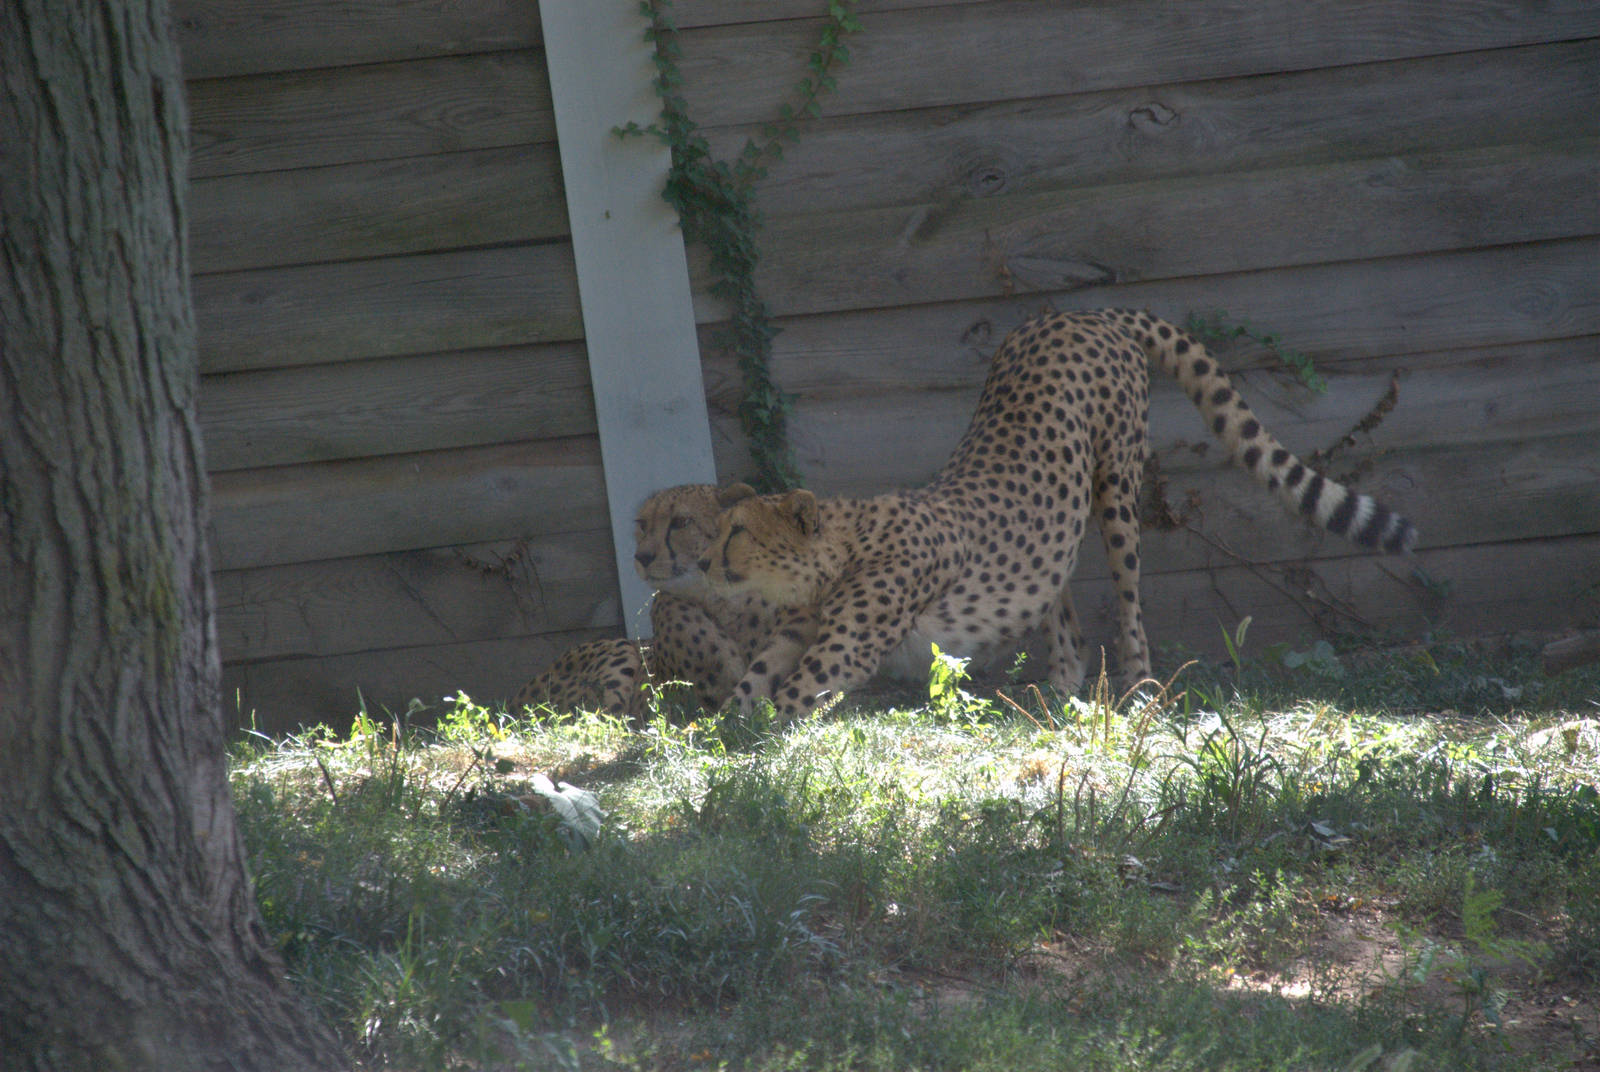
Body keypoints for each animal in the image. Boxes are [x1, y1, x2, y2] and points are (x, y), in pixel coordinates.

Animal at [511, 483, 814, 719]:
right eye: (643, 525)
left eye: (681, 522)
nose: (642, 557)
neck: (729, 604)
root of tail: (514, 700)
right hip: (618, 648)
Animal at [698, 308, 1418, 723]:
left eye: (738, 532)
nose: (703, 561)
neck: (839, 549)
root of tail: (1080, 309)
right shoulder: (799, 629)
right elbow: (750, 688)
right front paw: (702, 733)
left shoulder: (840, 652)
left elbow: (787, 700)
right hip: (1063, 519)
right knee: (1060, 593)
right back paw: (1059, 690)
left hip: (1117, 486)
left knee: (1127, 598)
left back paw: (1138, 691)